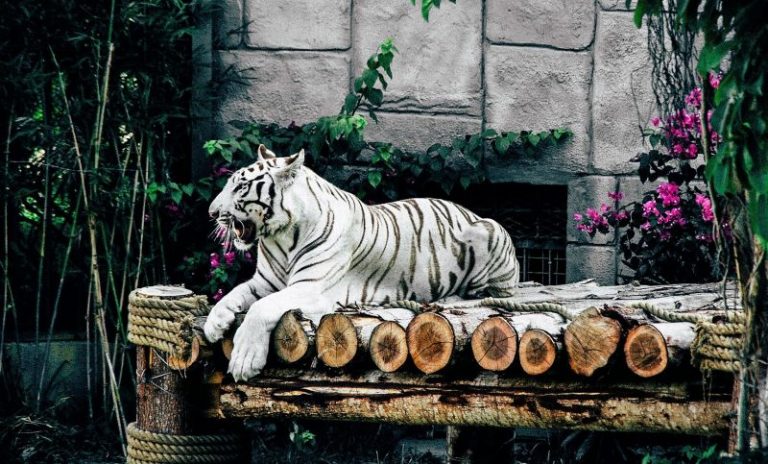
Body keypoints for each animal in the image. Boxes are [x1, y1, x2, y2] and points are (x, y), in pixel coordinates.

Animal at [203, 145, 519, 381]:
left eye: (240, 187)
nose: (211, 213)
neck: (280, 237)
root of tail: (469, 211)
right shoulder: (264, 282)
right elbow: (235, 293)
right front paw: (215, 323)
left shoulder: (311, 288)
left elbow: (260, 308)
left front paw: (244, 361)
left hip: (489, 233)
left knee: (496, 290)